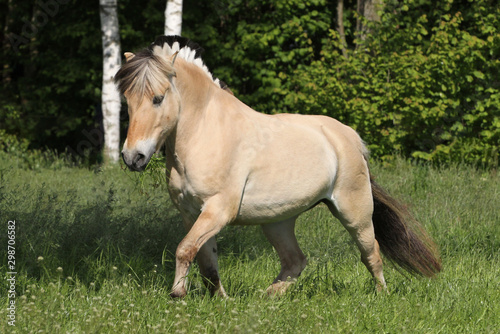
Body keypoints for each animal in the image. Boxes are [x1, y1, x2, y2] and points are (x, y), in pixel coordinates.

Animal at [114, 36, 442, 298]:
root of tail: (350, 137)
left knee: (371, 253)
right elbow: (205, 260)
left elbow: (185, 249)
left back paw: (380, 296)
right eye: (127, 100)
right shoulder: (191, 213)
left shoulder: (218, 210)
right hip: (278, 221)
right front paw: (220, 299)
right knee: (296, 260)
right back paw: (268, 296)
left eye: (158, 98)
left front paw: (177, 294)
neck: (204, 133)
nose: (133, 157)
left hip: (354, 212)